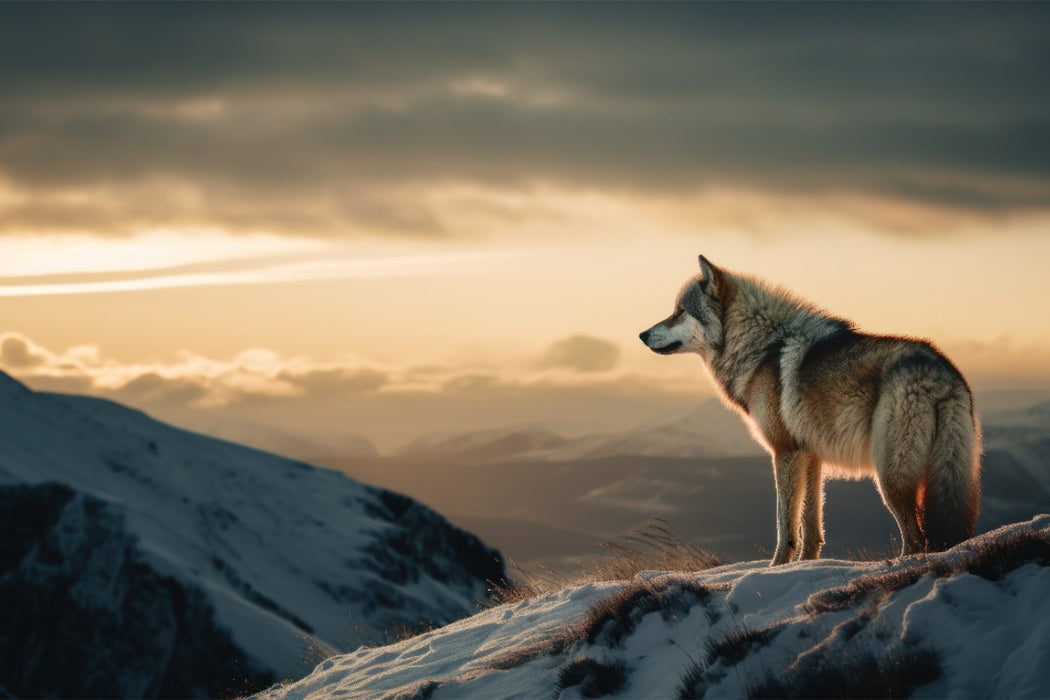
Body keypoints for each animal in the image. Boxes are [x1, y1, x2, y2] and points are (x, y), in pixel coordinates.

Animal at [640, 256, 982, 565]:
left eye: (680, 311)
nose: (642, 334)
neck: (761, 349)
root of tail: (937, 373)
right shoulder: (810, 456)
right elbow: (811, 525)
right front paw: (806, 565)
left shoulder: (785, 452)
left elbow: (785, 524)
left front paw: (776, 568)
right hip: (949, 476)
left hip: (890, 478)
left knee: (915, 538)